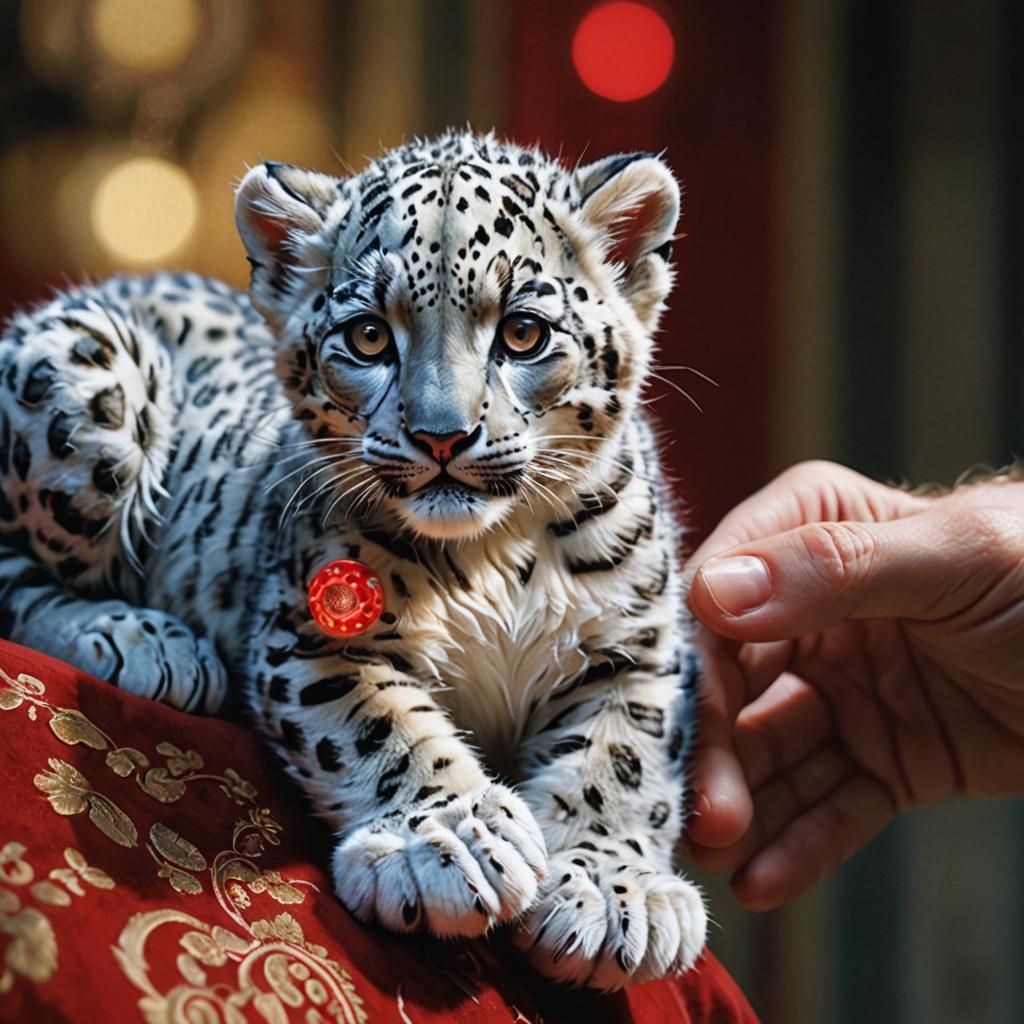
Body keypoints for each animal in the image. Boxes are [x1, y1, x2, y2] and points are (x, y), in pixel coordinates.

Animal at [0, 130, 707, 990]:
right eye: (369, 336)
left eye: (524, 332)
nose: (442, 436)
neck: (502, 554)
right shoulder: (309, 635)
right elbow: (379, 727)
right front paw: (448, 841)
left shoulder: (638, 649)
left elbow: (623, 761)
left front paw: (612, 892)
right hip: (84, 377)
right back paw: (145, 643)